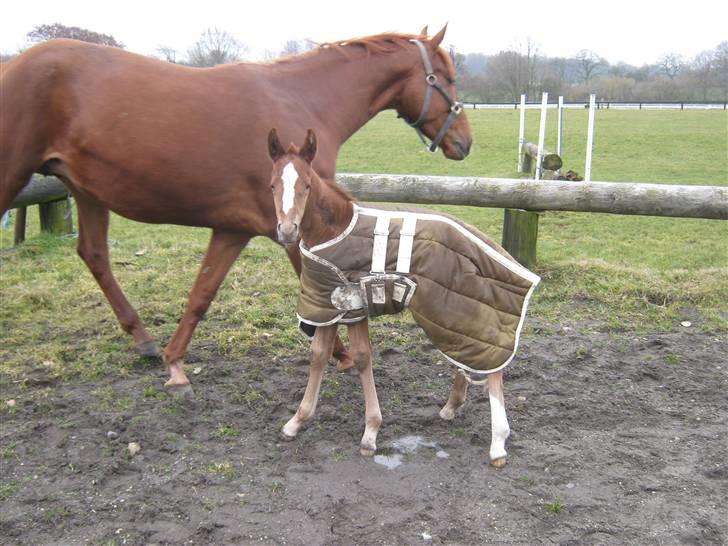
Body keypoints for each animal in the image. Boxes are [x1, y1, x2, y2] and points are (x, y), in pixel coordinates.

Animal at [0, 26, 472, 392]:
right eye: (447, 76)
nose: (464, 142)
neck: (303, 101)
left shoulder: (233, 229)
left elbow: (202, 293)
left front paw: (175, 362)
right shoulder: (293, 229)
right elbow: (315, 291)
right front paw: (338, 353)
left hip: (88, 192)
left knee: (95, 254)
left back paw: (144, 340)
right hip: (15, 175)